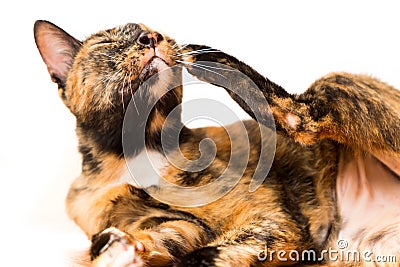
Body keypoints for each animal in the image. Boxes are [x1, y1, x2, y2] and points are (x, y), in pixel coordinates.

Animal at [35, 19, 400, 266]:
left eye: (151, 30)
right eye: (108, 43)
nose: (150, 37)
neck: (137, 152)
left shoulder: (268, 217)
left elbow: (203, 255)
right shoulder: (177, 225)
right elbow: (155, 236)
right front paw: (117, 250)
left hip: (336, 81)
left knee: (300, 117)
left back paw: (211, 62)